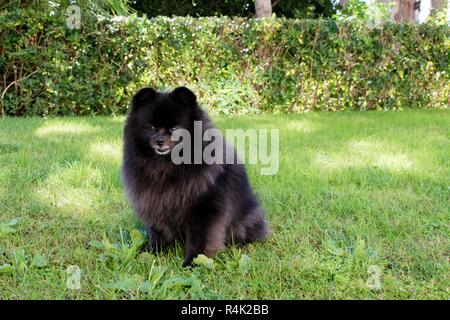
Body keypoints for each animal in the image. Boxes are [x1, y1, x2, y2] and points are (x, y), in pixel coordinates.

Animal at [121, 86, 268, 266]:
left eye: (175, 129)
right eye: (151, 128)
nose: (160, 141)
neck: (167, 166)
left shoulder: (203, 209)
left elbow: (200, 239)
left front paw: (193, 261)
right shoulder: (154, 202)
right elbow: (157, 232)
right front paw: (150, 252)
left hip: (246, 220)